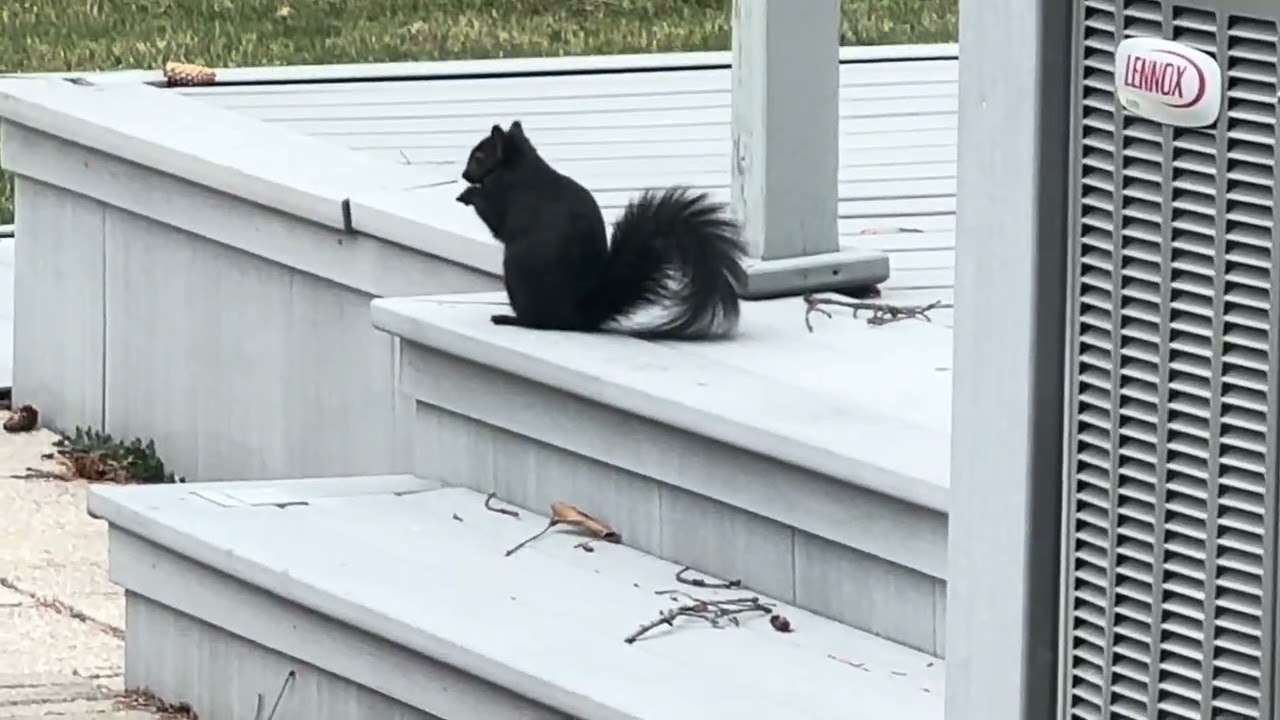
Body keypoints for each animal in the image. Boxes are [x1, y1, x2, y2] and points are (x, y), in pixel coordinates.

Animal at [455, 120, 746, 339]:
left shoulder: (503, 193)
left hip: (518, 272)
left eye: (479, 156)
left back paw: (509, 318)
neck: (519, 164)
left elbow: (494, 219)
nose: (464, 174)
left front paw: (468, 193)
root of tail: (578, 315)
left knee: (538, 322)